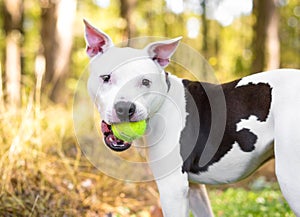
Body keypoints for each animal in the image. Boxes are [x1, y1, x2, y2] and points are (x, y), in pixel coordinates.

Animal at [84, 19, 300, 216]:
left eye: (145, 82)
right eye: (106, 78)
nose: (124, 108)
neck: (164, 102)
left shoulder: (173, 188)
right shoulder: (195, 190)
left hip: (290, 178)